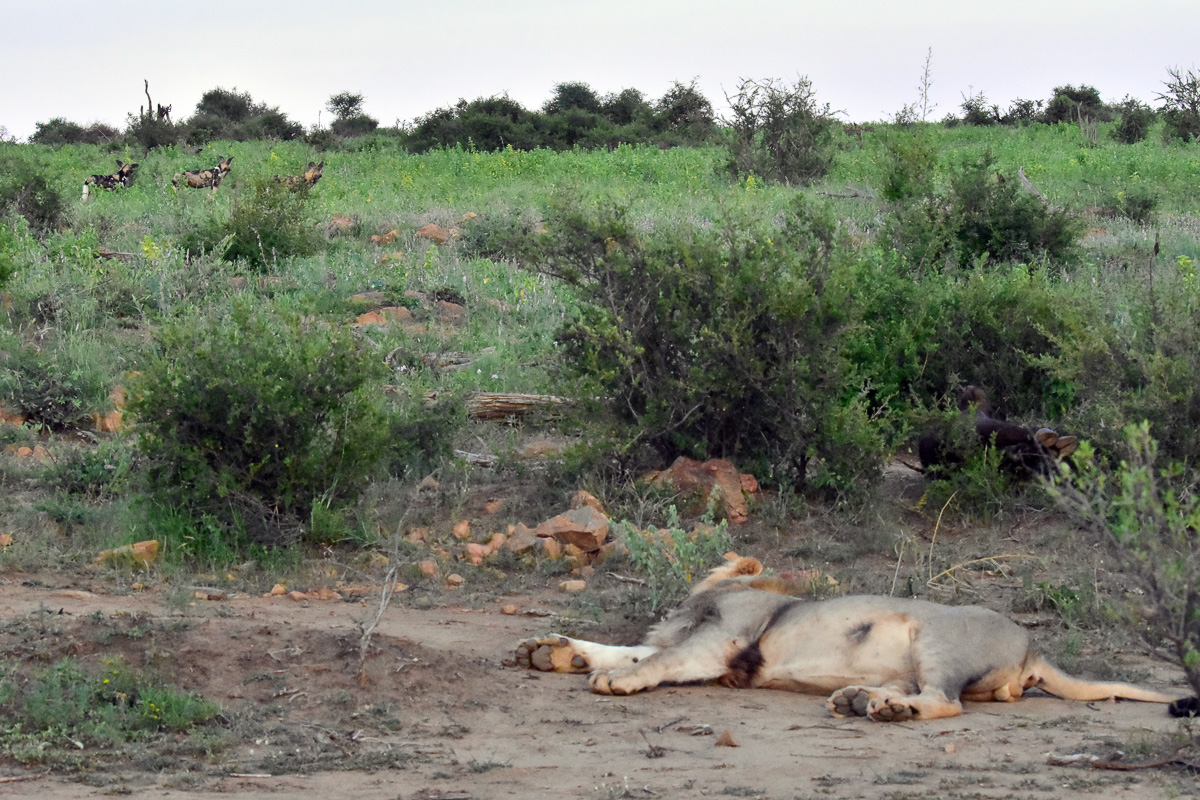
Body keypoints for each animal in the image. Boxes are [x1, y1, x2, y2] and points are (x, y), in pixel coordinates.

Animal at [514, 556, 1173, 722]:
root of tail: (1033, 648)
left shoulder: (721, 640)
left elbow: (658, 658)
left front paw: (614, 678)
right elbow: (633, 647)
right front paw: (552, 649)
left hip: (937, 639)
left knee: (945, 703)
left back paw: (886, 711)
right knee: (920, 693)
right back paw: (862, 700)